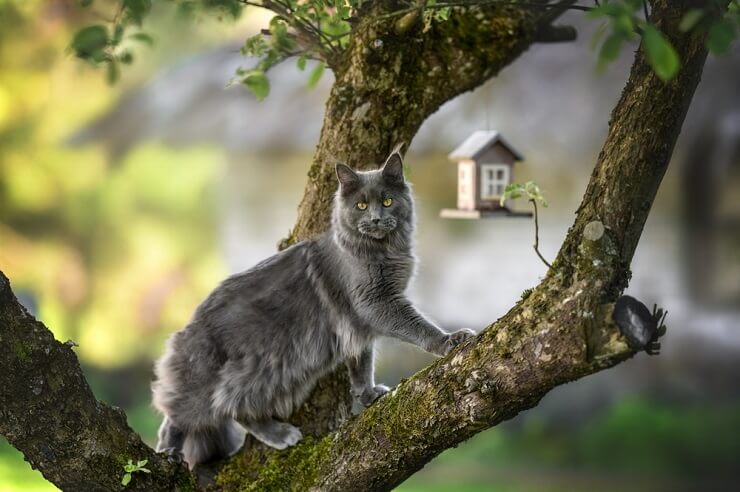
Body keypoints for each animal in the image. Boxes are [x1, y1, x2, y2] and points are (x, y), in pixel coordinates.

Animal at [151, 149, 474, 466]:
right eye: (361, 205)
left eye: (387, 201)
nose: (376, 219)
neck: (380, 251)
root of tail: (186, 329)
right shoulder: (376, 303)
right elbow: (417, 327)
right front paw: (449, 340)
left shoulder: (358, 325)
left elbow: (361, 365)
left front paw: (368, 395)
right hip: (248, 372)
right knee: (206, 411)